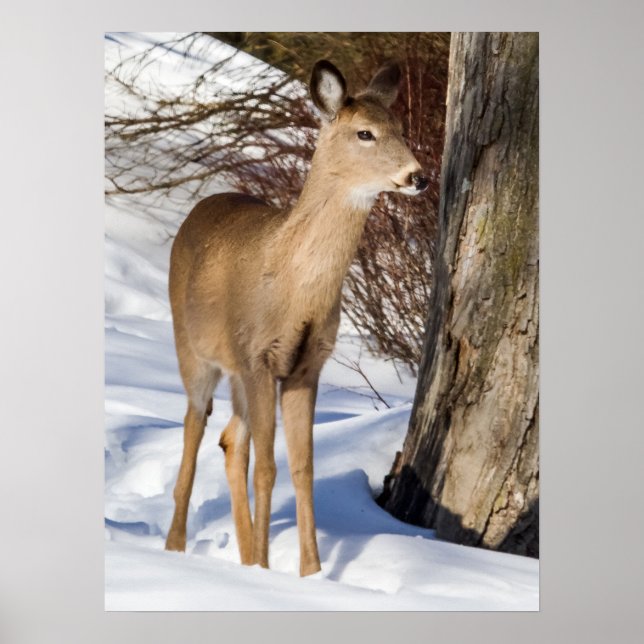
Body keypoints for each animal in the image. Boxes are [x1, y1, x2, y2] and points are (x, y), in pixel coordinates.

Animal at [164, 59, 428, 576]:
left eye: (401, 129)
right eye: (365, 133)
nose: (418, 176)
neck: (294, 289)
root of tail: (202, 205)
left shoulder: (306, 364)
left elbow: (303, 468)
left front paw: (310, 574)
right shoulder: (258, 355)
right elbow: (268, 467)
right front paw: (271, 573)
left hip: (238, 374)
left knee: (230, 440)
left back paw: (245, 555)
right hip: (194, 349)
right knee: (194, 426)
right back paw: (175, 547)